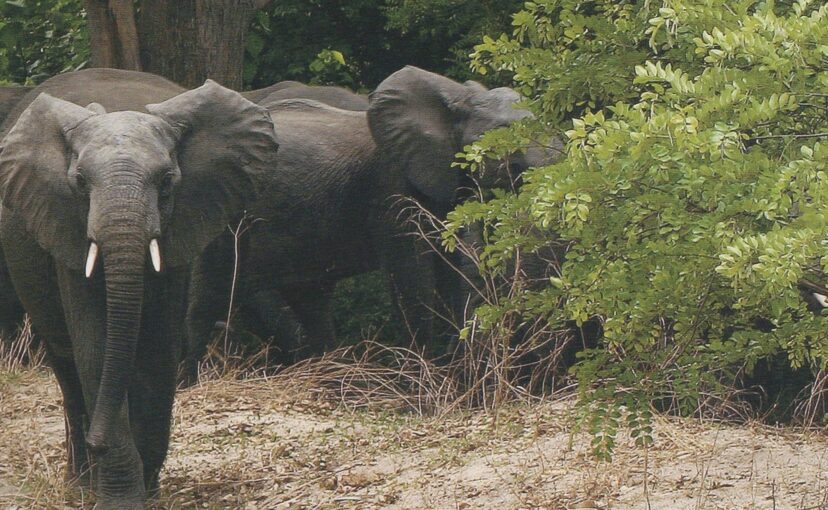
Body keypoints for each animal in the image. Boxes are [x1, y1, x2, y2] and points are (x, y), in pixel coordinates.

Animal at [0, 68, 278, 509]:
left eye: (166, 182)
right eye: (80, 183)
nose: (97, 440)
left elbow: (157, 350)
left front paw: (147, 490)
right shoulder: (68, 228)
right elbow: (96, 349)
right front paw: (120, 498)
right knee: (67, 367)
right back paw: (81, 484)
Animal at [182, 65, 551, 381]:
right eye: (505, 139)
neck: (456, 98)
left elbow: (456, 268)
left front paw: (457, 375)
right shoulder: (390, 185)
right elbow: (411, 279)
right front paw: (423, 384)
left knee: (309, 301)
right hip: (221, 211)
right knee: (210, 297)